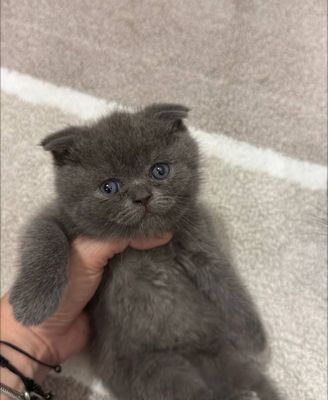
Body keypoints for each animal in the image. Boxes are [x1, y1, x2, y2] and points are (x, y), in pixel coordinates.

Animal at [9, 104, 282, 398]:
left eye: (159, 170)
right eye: (109, 187)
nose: (142, 196)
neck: (144, 243)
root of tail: (188, 351)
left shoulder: (198, 236)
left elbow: (224, 278)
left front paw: (253, 336)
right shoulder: (56, 218)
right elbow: (45, 237)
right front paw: (32, 304)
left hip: (220, 353)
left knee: (248, 377)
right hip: (152, 369)